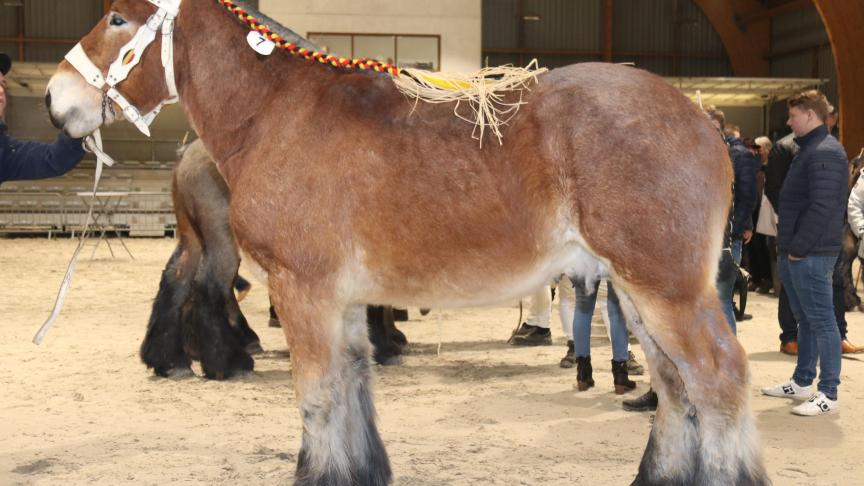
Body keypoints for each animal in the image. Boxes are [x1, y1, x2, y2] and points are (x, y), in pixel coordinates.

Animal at [44, 0, 768, 486]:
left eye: (116, 18)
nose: (55, 99)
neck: (279, 114)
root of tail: (700, 119)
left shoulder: (303, 291)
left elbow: (318, 397)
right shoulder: (338, 300)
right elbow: (349, 389)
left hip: (666, 290)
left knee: (719, 380)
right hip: (639, 294)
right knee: (676, 388)